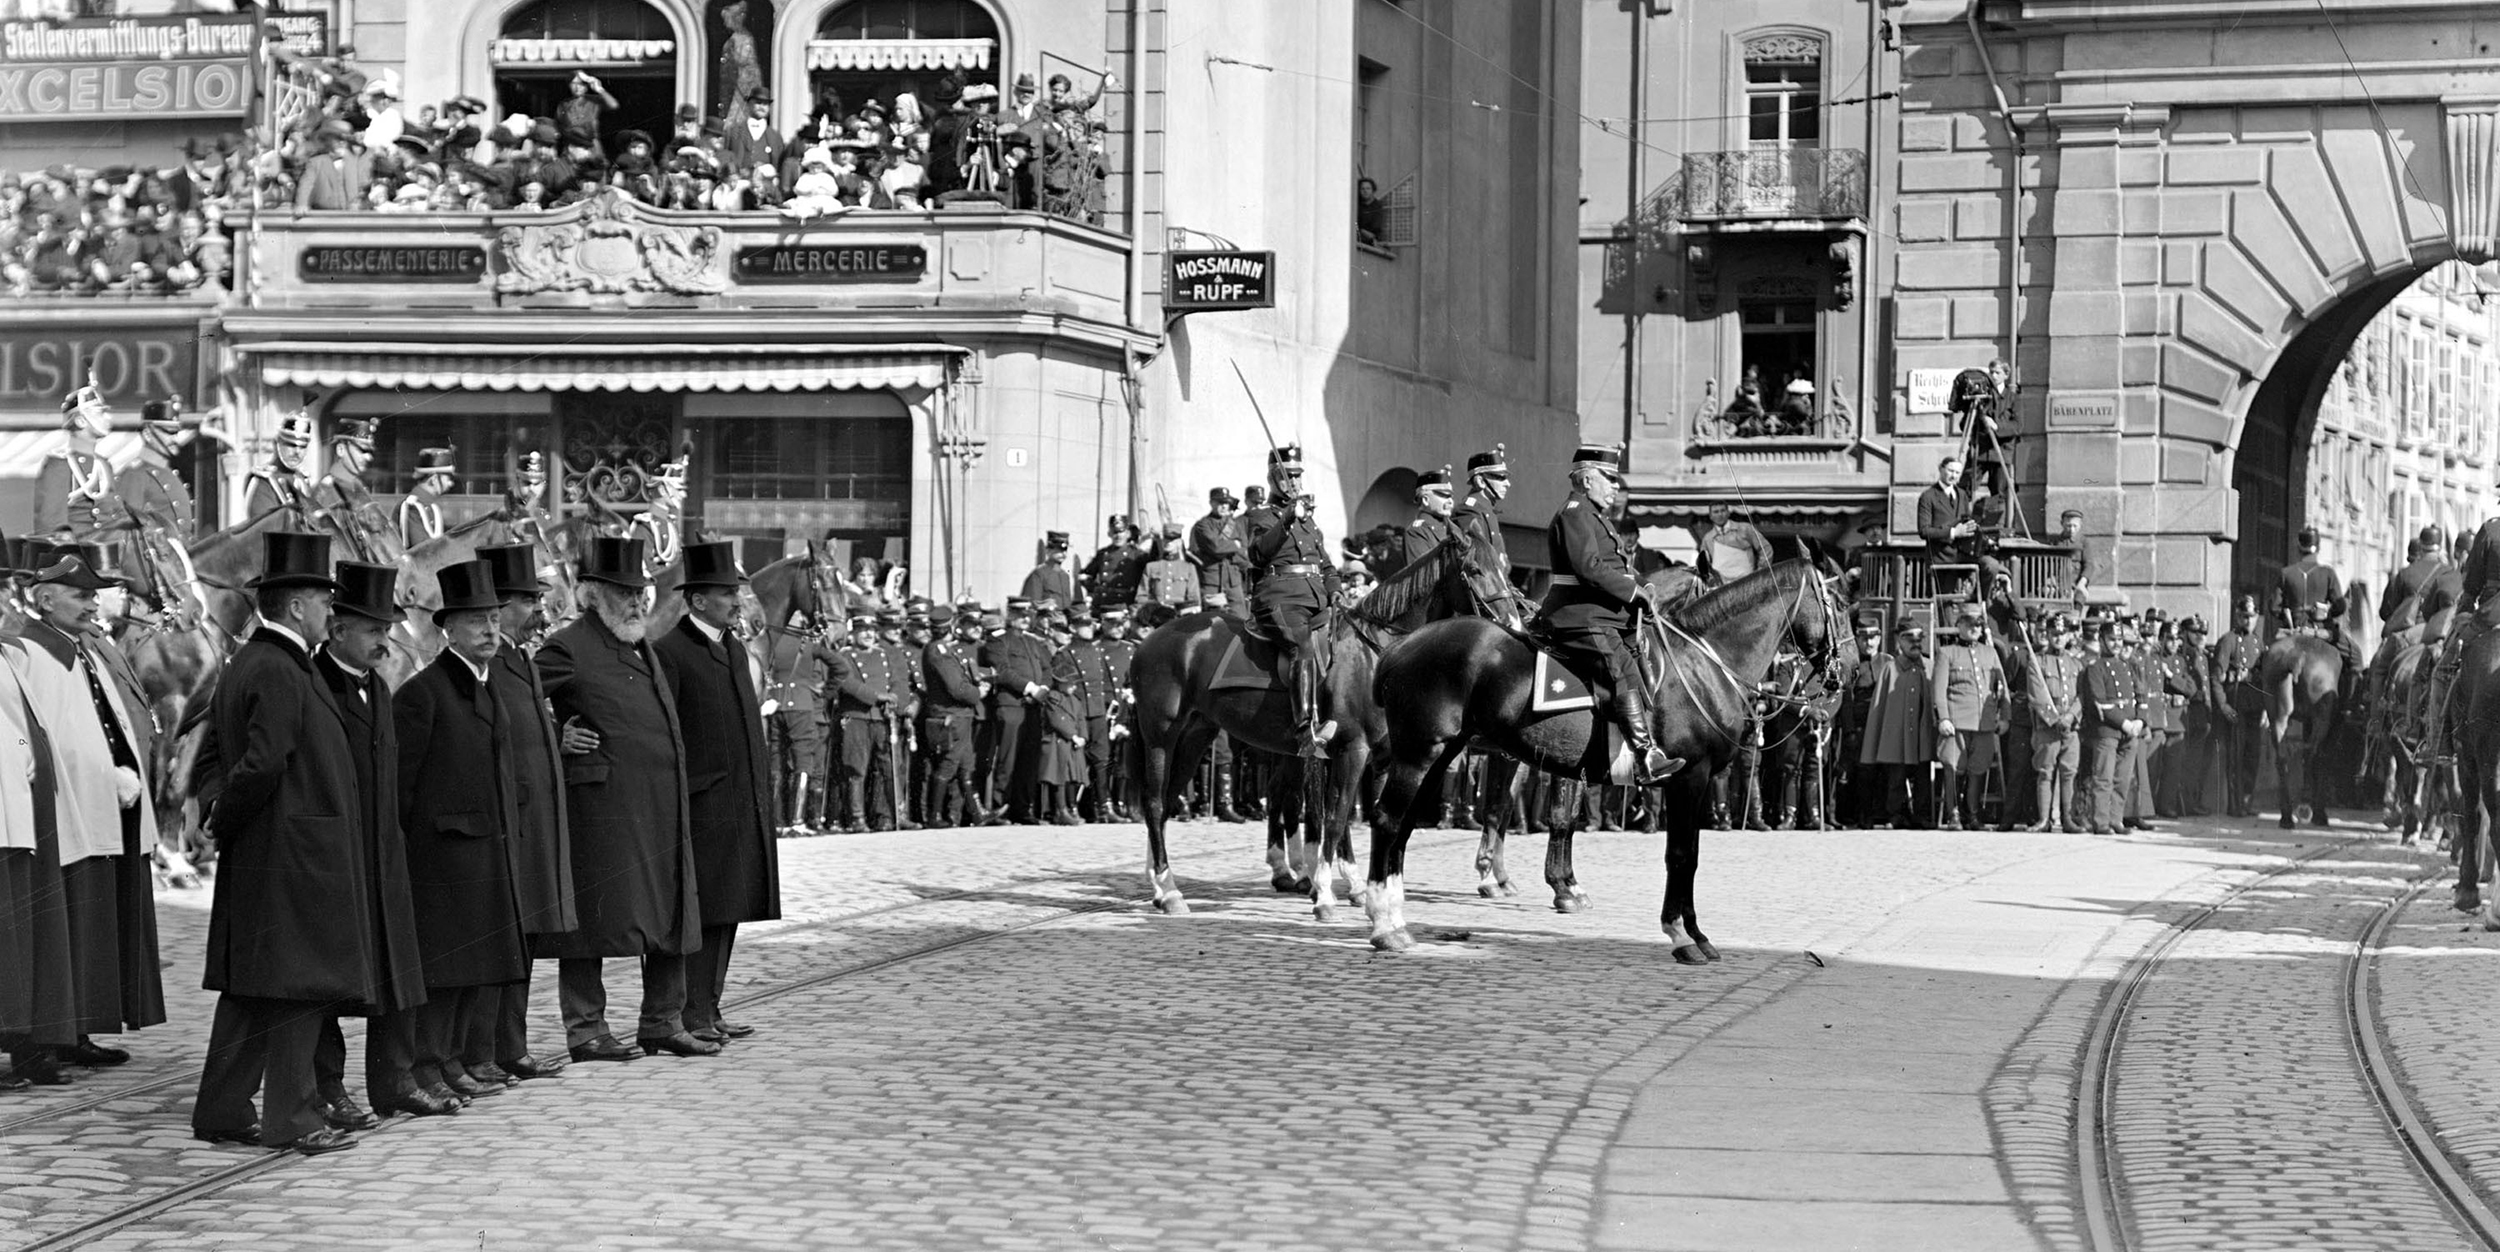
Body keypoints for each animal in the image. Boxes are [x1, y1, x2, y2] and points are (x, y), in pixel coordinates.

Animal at [1140, 542, 1480, 924]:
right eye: (1477, 570)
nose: (1512, 621)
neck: (1375, 654)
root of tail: (1153, 638)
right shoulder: (1350, 751)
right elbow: (1333, 816)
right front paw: (1328, 894)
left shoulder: (1379, 756)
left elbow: (1366, 816)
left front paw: (1359, 890)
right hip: (1160, 736)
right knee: (1154, 803)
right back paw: (1170, 890)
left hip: (1196, 735)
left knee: (1170, 803)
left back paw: (1161, 883)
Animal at [1360, 564, 1850, 954]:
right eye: (1842, 604)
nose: (1846, 673)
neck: (1701, 664)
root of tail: (1399, 647)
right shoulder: (1689, 778)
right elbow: (1681, 855)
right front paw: (1682, 933)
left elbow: (1676, 850)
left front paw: (1691, 931)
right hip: (1419, 753)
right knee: (1387, 820)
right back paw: (1385, 924)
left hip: (1442, 753)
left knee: (1405, 825)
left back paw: (1398, 913)